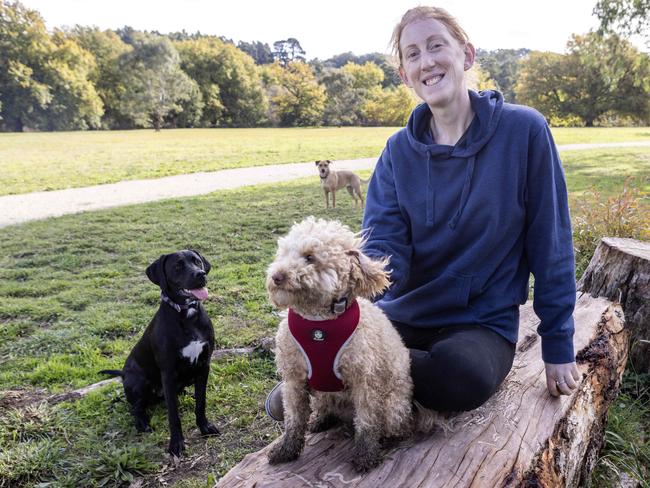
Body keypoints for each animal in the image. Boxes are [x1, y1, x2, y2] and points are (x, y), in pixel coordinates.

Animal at [100, 250, 219, 456]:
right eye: (178, 266)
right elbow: (173, 414)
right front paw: (176, 444)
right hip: (139, 382)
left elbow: (201, 402)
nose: (201, 275)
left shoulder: (204, 365)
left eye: (197, 261)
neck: (187, 316)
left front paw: (205, 427)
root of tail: (123, 373)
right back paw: (142, 423)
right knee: (136, 408)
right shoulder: (168, 374)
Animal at [264, 217, 440, 472]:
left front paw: (366, 454)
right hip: (324, 394)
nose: (276, 277)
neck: (318, 325)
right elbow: (294, 419)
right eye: (283, 253)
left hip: (393, 405)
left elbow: (367, 422)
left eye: (310, 257)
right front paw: (286, 449)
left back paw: (385, 438)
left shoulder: (364, 381)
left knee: (398, 427)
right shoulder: (294, 379)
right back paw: (322, 420)